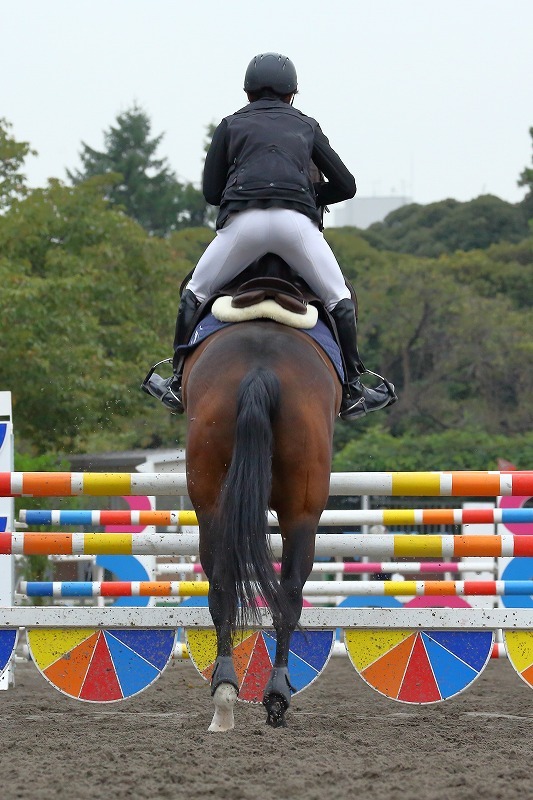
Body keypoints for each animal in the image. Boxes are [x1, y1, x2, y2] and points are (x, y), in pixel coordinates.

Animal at [183, 288, 340, 732]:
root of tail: (259, 370)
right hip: (302, 514)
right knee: (290, 593)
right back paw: (275, 695)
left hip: (211, 504)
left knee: (222, 586)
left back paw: (225, 692)